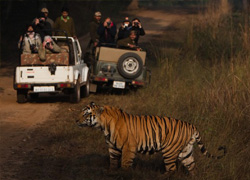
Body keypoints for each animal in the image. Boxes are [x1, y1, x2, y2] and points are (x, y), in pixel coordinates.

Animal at [75, 102, 226, 176]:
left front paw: (124, 175)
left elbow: (125, 164)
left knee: (171, 169)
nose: (76, 120)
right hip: (186, 151)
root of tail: (192, 126)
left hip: (170, 151)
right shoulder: (112, 147)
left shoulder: (128, 147)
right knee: (192, 167)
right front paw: (111, 173)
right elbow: (112, 163)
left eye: (86, 114)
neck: (103, 126)